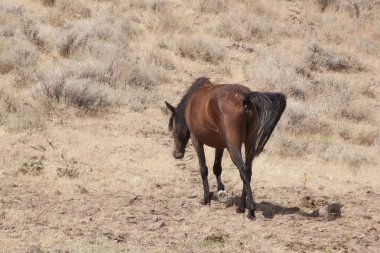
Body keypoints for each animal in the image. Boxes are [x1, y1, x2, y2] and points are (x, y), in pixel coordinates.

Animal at [165, 77, 286, 219]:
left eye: (172, 127)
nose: (176, 154)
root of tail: (244, 99)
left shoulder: (196, 140)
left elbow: (203, 169)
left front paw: (206, 198)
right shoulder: (220, 145)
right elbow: (217, 168)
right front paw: (220, 189)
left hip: (233, 147)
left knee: (243, 171)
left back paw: (250, 210)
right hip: (249, 144)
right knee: (248, 171)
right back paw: (241, 207)